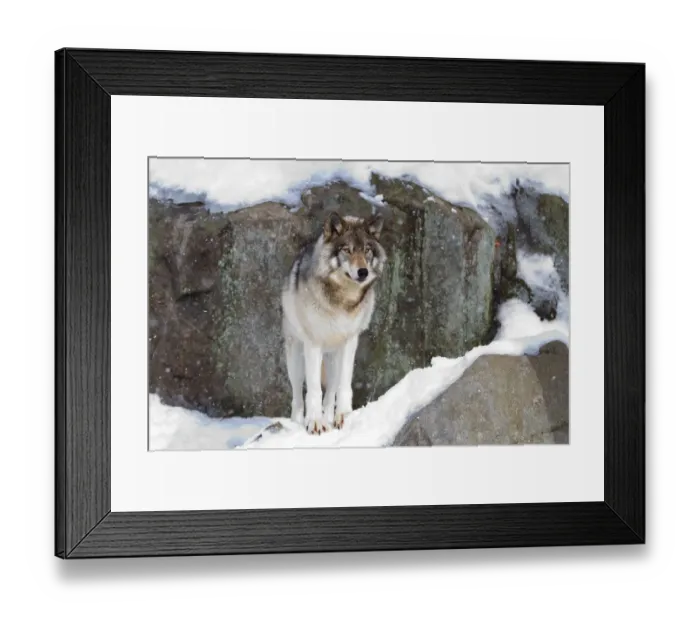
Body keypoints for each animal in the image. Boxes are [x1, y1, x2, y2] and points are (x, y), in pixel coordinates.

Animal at [281, 211, 387, 434]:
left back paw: (330, 417)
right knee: (297, 395)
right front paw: (314, 422)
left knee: (331, 391)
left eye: (367, 250)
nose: (363, 272)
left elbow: (344, 386)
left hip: (333, 360)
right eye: (347, 250)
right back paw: (297, 423)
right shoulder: (313, 344)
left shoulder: (350, 342)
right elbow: (313, 389)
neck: (342, 302)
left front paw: (344, 416)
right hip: (295, 358)